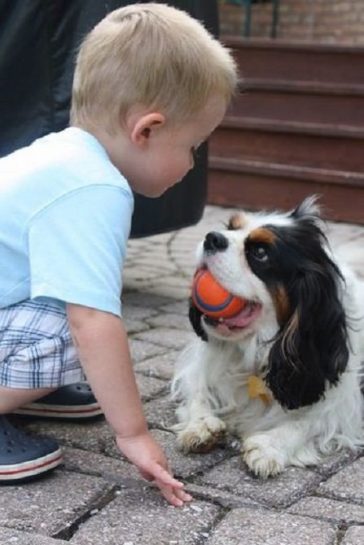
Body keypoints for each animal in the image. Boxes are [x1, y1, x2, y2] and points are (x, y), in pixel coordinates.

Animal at [171, 196, 364, 476]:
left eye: (260, 253)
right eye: (231, 227)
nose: (212, 237)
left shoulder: (342, 400)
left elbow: (309, 421)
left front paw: (269, 446)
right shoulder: (199, 368)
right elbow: (198, 393)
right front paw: (201, 425)